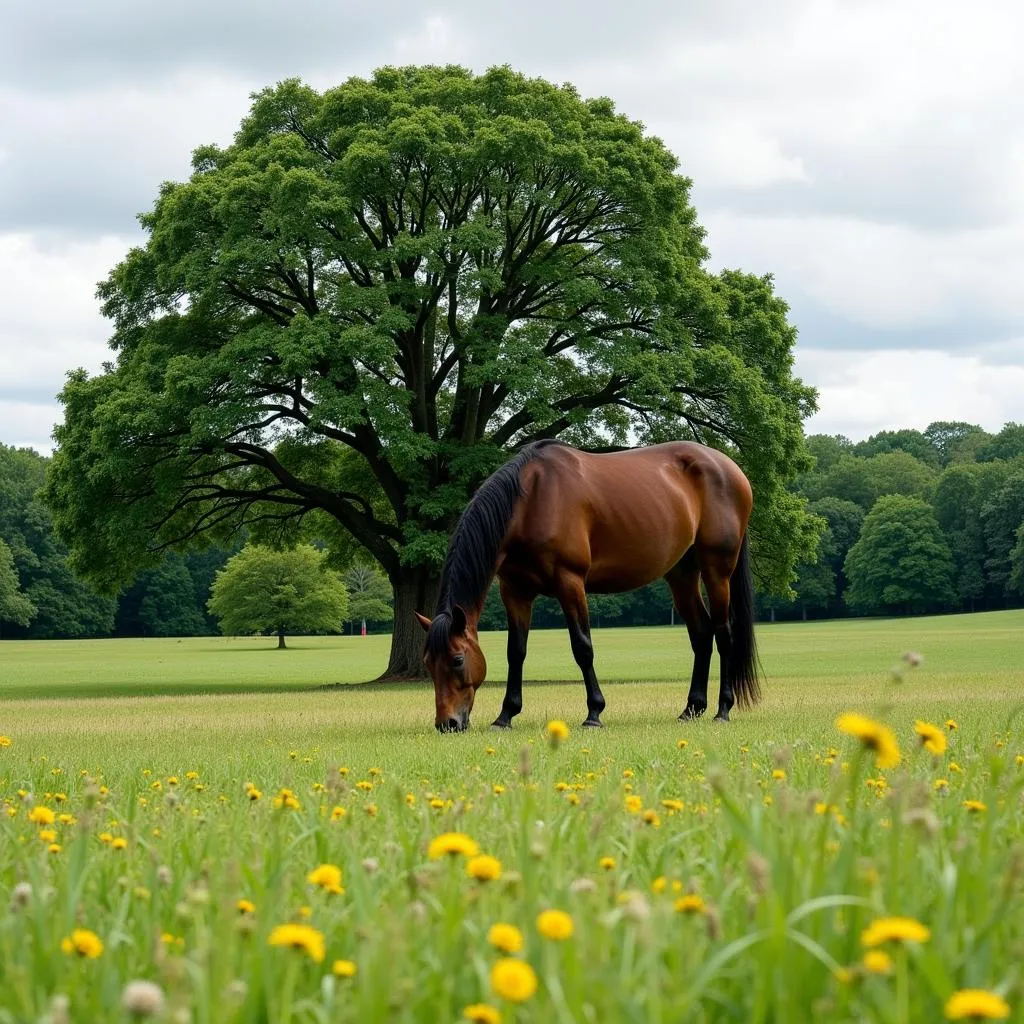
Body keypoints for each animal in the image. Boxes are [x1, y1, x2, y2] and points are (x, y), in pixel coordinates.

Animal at [415, 438, 761, 729]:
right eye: (428, 663)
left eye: (457, 660)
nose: (447, 724)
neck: (532, 499)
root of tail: (728, 467)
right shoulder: (515, 591)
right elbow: (516, 651)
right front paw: (506, 715)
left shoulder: (570, 582)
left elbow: (582, 647)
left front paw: (594, 712)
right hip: (682, 574)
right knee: (701, 634)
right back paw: (691, 708)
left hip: (717, 571)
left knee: (723, 634)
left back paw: (722, 710)